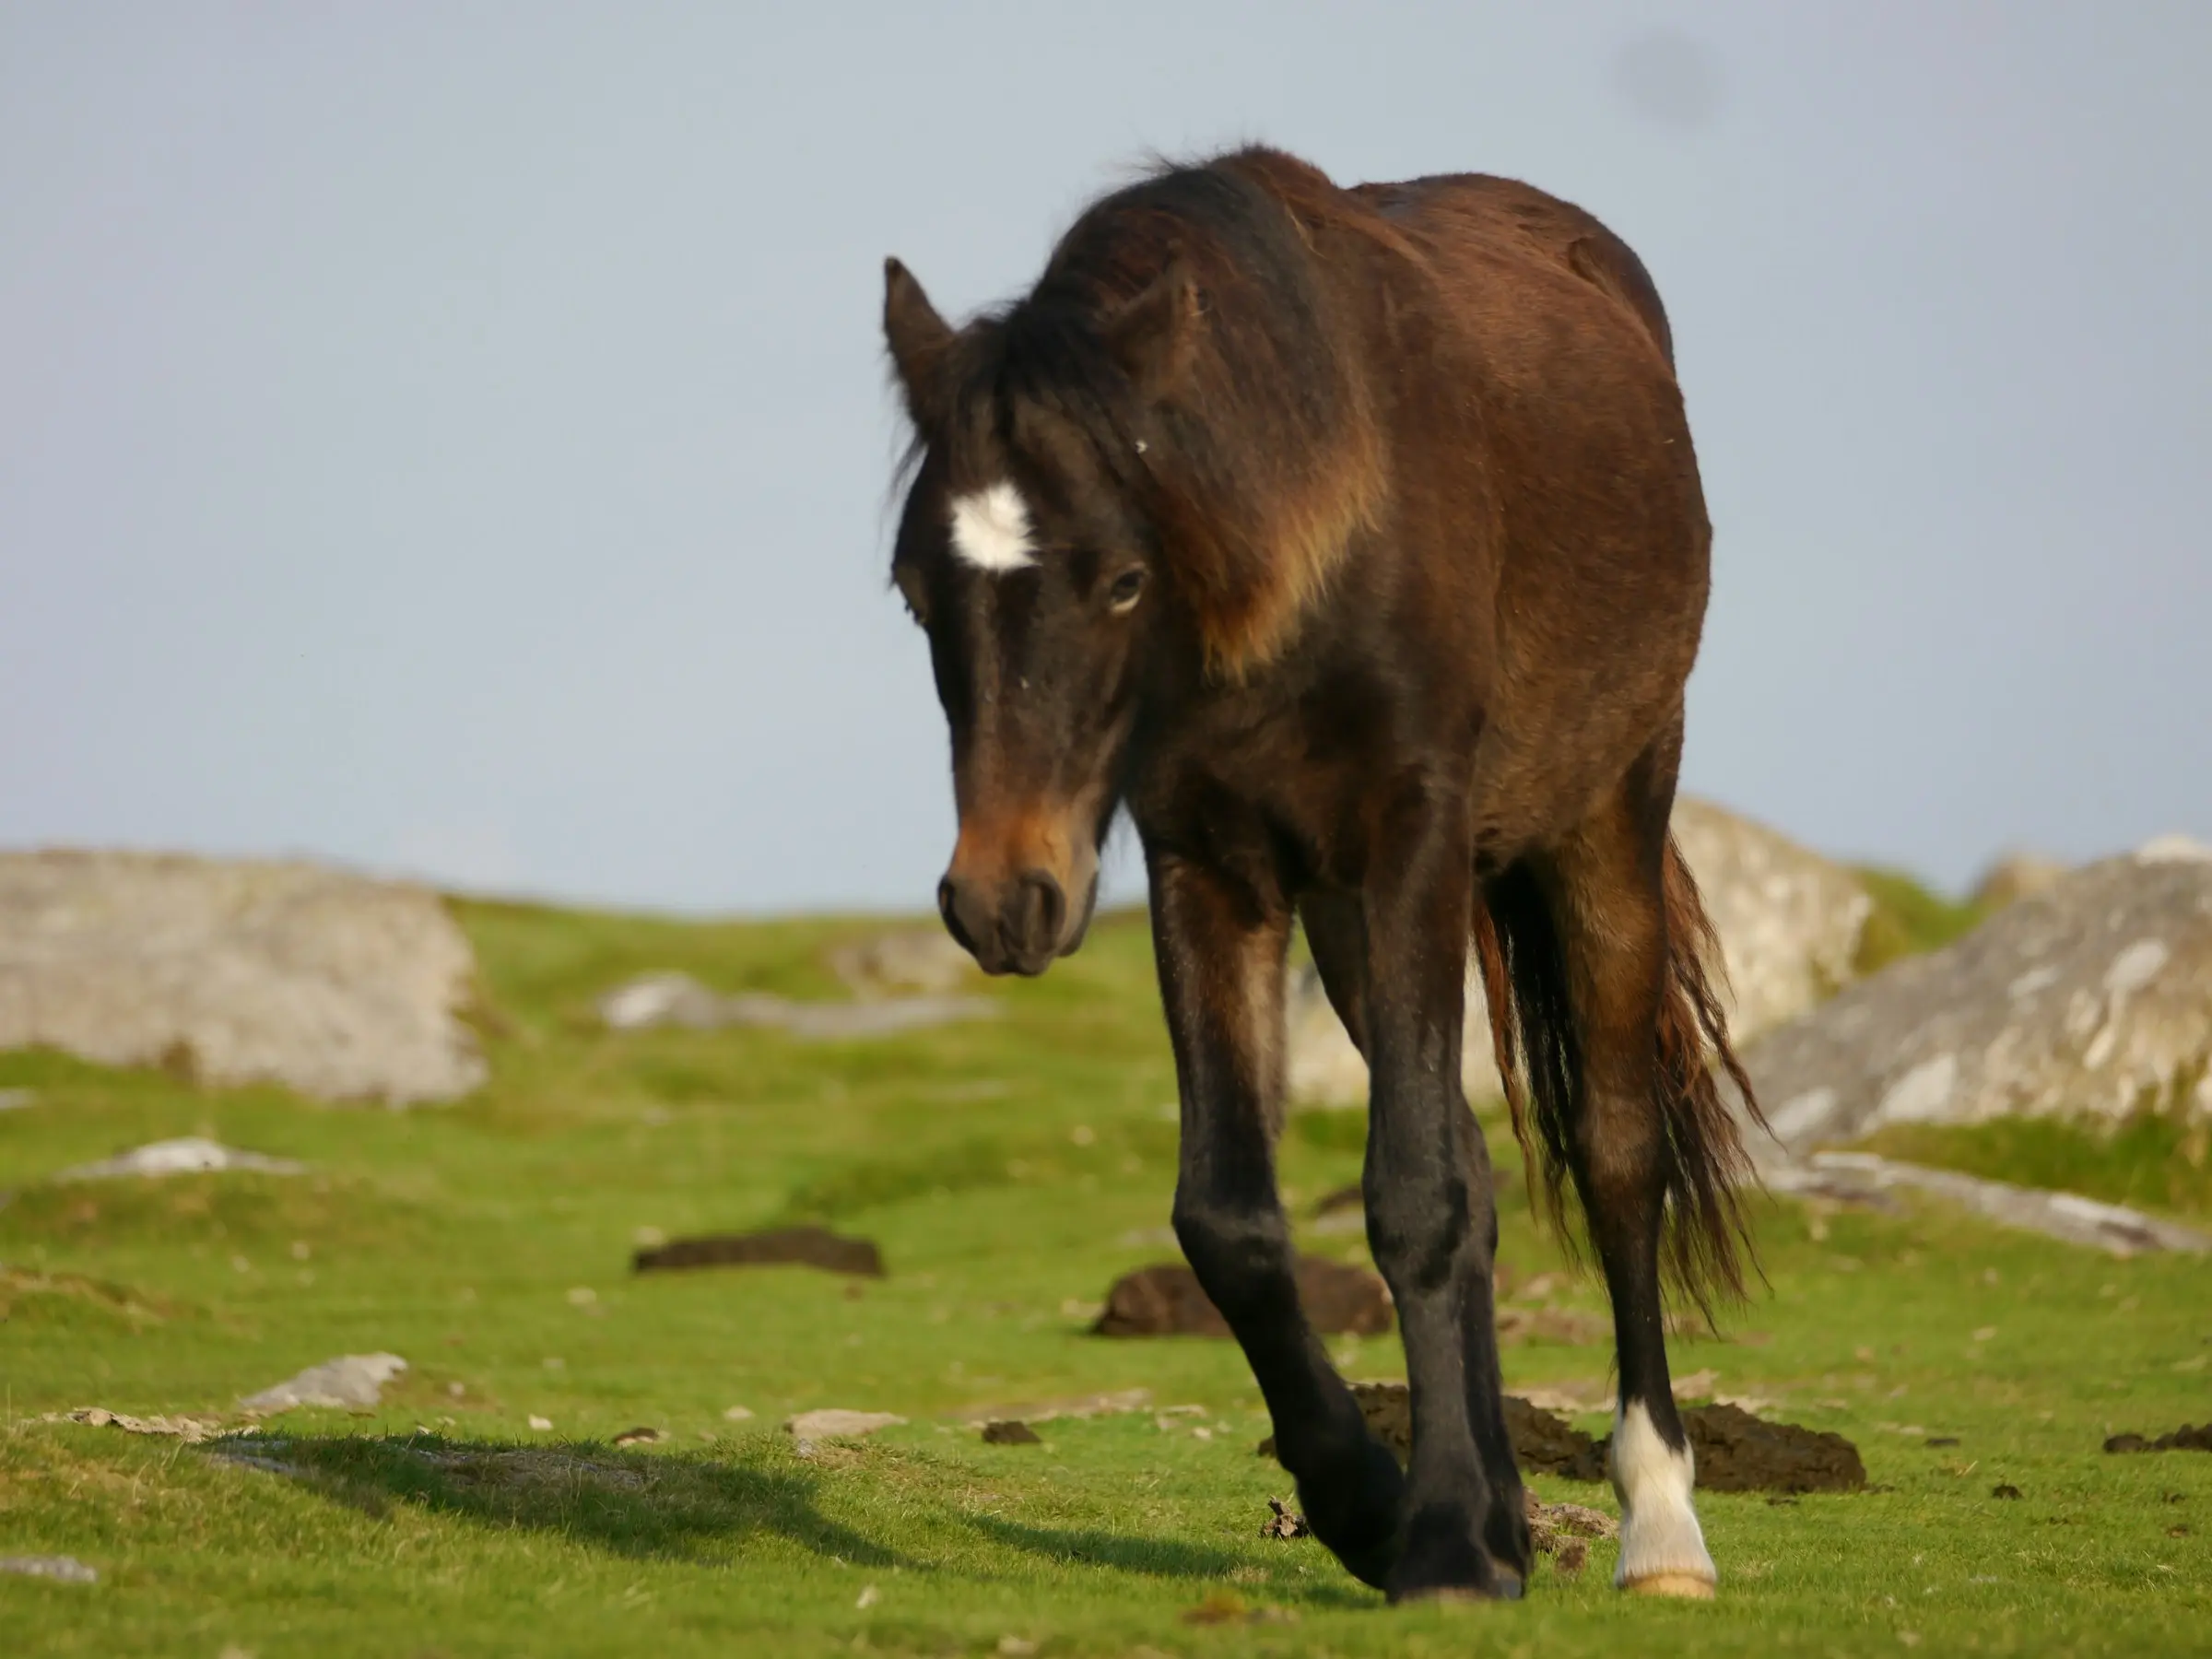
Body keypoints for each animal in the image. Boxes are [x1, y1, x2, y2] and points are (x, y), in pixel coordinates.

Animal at [880, 146, 1760, 1610]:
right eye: (911, 589)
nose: (1002, 901)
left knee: (1615, 1152)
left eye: (1124, 580)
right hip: (1352, 917)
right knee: (1474, 1162)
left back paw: (1659, 1531)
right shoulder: (1209, 865)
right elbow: (1236, 1218)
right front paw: (1376, 1507)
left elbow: (1416, 1197)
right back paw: (1508, 1518)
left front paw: (1446, 1545)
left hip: (1603, 820)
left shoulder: (1409, 837)